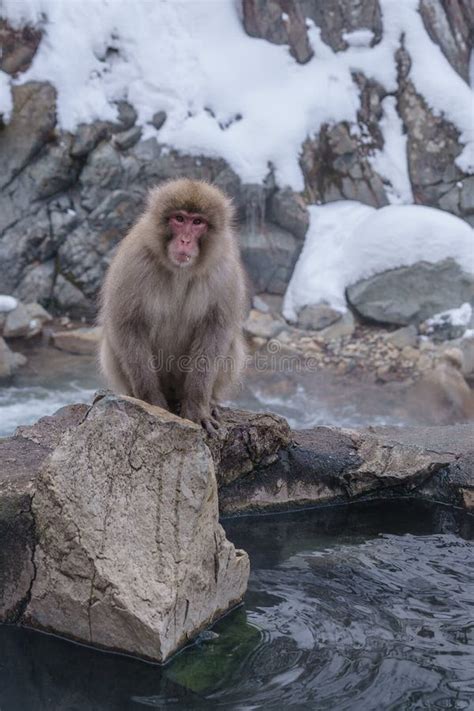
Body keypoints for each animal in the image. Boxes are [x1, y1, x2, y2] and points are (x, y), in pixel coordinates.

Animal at [100, 178, 248, 434]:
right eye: (179, 219)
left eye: (197, 222)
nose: (185, 240)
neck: (179, 271)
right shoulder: (133, 261)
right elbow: (127, 324)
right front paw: (151, 403)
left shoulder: (225, 271)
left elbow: (216, 331)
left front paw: (197, 407)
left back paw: (209, 401)